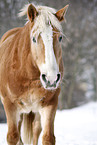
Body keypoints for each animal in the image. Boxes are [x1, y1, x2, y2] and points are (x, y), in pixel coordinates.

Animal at [0, 2, 68, 145]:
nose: (51, 79)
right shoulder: (10, 105)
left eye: (60, 38)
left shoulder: (50, 103)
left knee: (36, 131)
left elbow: (48, 137)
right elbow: (13, 137)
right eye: (34, 39)